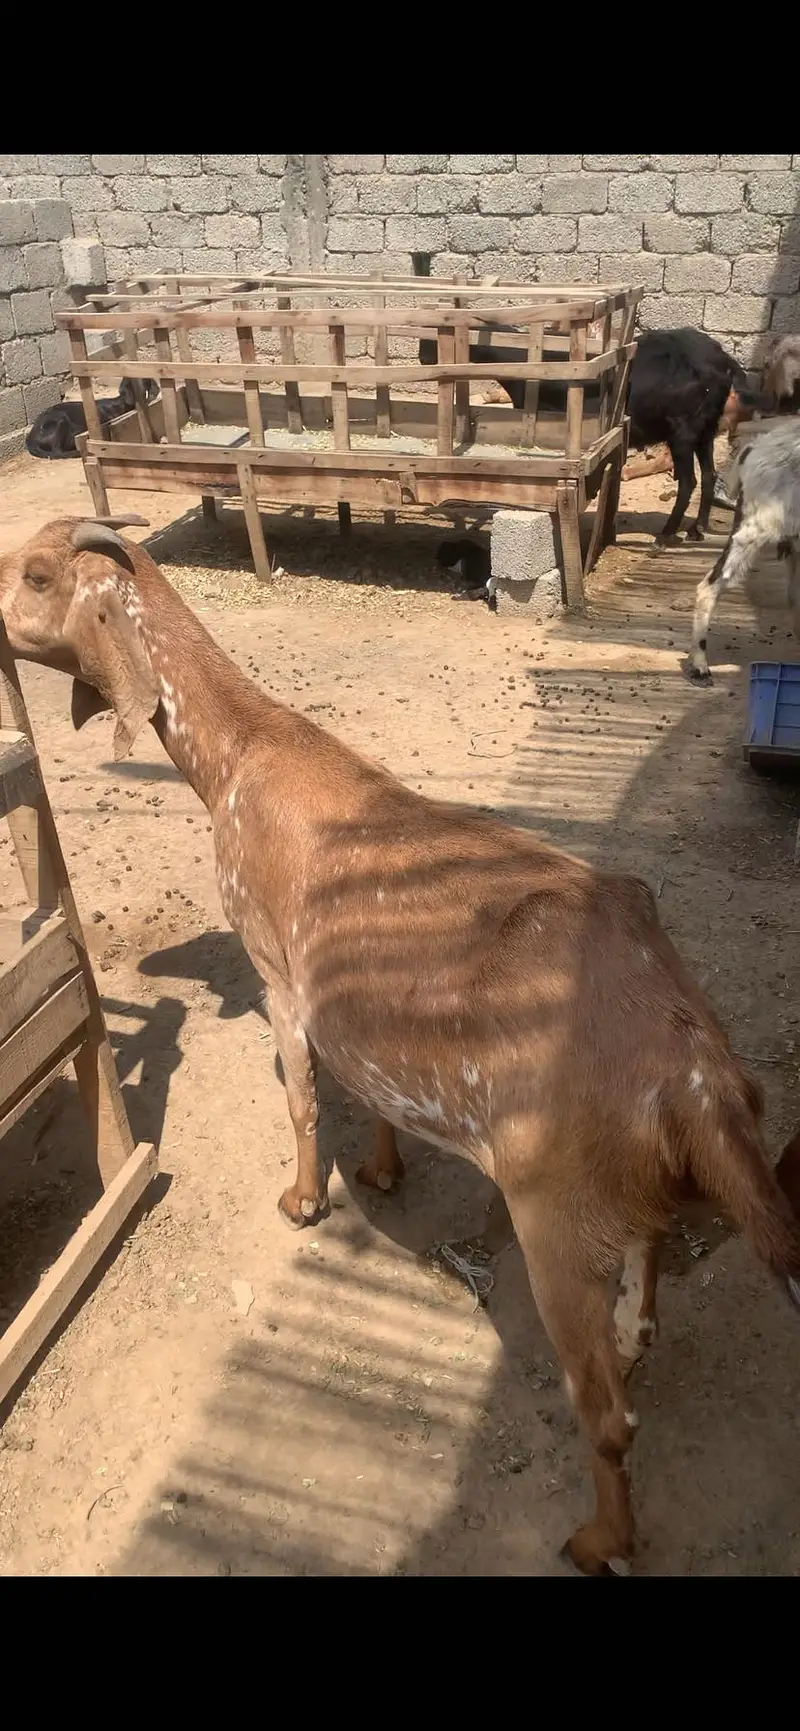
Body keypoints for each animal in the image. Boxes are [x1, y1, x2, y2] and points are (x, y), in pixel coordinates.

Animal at [2, 513, 799, 1576]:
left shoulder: (277, 969)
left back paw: (599, 1539)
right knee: (644, 1313)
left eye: (40, 573)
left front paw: (305, 1201)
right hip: (630, 1208)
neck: (242, 755)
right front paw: (380, 1172)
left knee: (607, 1414)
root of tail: (694, 1074)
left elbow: (302, 1095)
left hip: (554, 1215)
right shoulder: (353, 1011)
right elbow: (367, 1086)